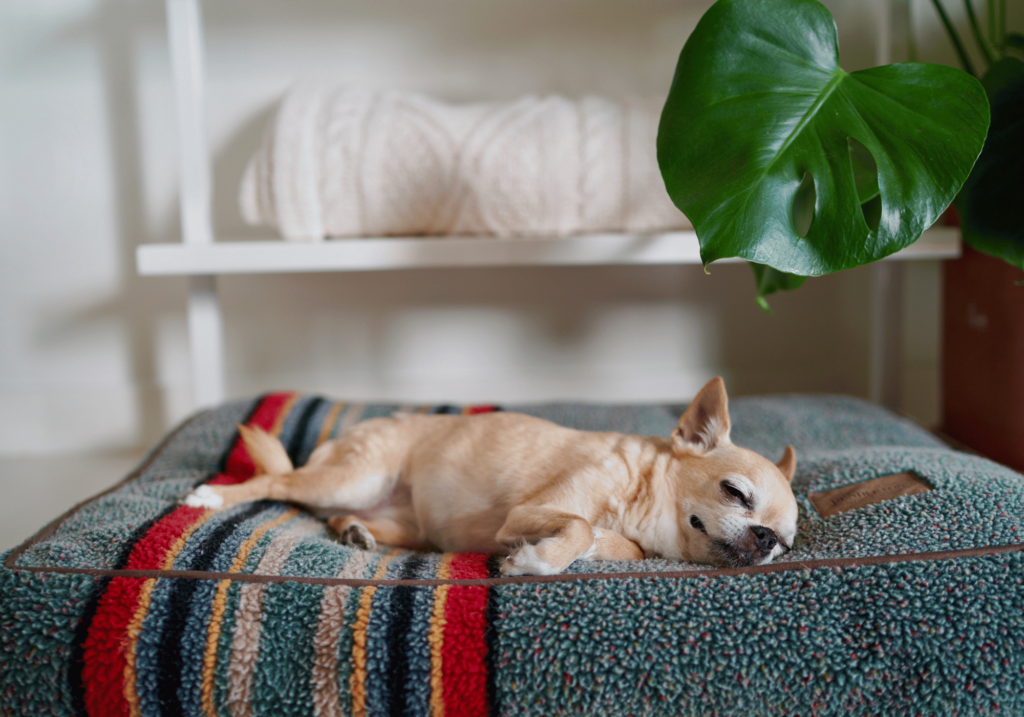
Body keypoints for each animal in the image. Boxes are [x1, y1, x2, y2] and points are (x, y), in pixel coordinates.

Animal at [188, 378, 802, 573]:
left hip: (408, 525)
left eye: (786, 545)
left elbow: (616, 544)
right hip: (352, 477)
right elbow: (580, 525)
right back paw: (211, 496)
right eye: (734, 493)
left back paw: (355, 533)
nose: (765, 539)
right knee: (276, 484)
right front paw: (537, 561)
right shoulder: (526, 512)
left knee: (338, 516)